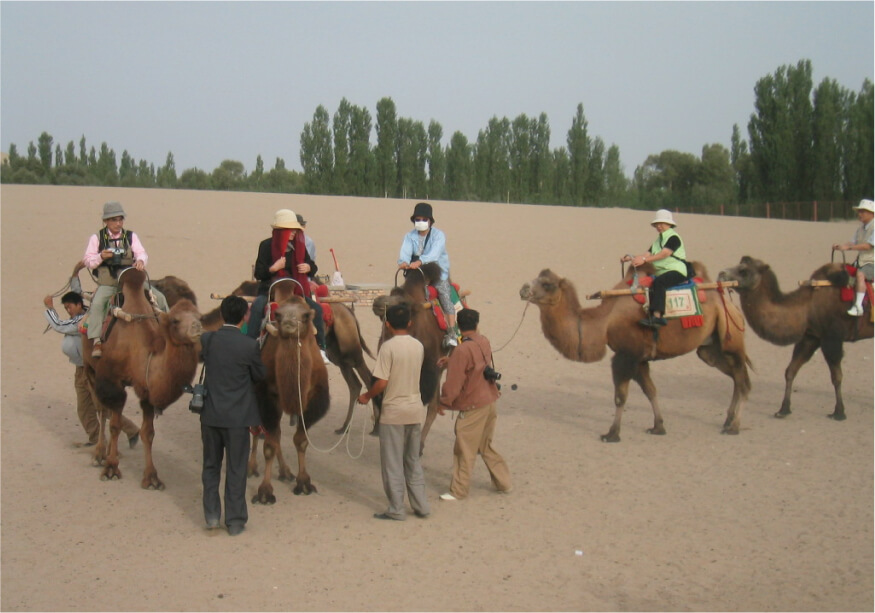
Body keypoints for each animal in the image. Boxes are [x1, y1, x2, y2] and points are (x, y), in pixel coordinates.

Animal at [83, 268, 203, 488]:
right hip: (89, 367)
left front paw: (152, 478)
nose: (197, 327)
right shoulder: (112, 383)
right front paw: (111, 469)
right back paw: (99, 454)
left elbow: (148, 433)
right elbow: (114, 425)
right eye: (175, 320)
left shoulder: (147, 392)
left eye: (198, 315)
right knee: (101, 409)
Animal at [255, 278, 334, 502]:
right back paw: (251, 468)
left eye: (306, 315)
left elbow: (300, 440)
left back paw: (285, 472)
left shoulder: (314, 397)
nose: (289, 324)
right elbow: (270, 444)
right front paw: (265, 491)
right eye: (278, 315)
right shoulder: (267, 396)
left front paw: (304, 482)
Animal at [372, 260, 456, 452]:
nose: (378, 301)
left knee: (432, 405)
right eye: (391, 294)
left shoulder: (429, 369)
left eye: (402, 303)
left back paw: (419, 445)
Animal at [520, 266, 752, 442]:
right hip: (710, 348)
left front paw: (612, 434)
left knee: (743, 382)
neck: (604, 322)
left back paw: (734, 426)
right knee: (734, 377)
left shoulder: (626, 355)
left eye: (547, 284)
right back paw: (727, 421)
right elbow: (651, 391)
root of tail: (729, 303)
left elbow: (620, 397)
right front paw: (658, 427)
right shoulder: (640, 359)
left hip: (730, 337)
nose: (523, 289)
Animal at [716, 255, 872, 420]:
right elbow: (790, 371)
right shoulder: (811, 336)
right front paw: (783, 409)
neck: (808, 305)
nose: (721, 274)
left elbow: (836, 377)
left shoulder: (831, 338)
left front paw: (839, 412)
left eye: (744, 271)